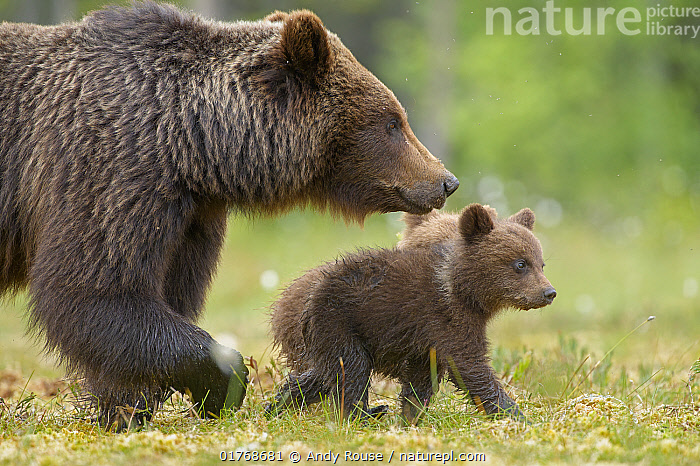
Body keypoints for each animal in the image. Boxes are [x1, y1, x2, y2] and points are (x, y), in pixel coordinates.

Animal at [0, 2, 458, 430]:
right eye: (392, 123)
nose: (445, 181)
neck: (193, 144)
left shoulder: (190, 215)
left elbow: (167, 295)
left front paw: (127, 405)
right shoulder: (110, 166)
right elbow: (94, 287)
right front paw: (220, 384)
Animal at [268, 203, 556, 423]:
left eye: (541, 263)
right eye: (520, 264)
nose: (549, 292)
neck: (463, 290)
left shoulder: (427, 339)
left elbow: (422, 379)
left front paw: (411, 415)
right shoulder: (446, 317)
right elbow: (469, 367)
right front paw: (517, 415)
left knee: (322, 373)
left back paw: (278, 404)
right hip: (339, 322)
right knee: (352, 369)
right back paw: (362, 413)